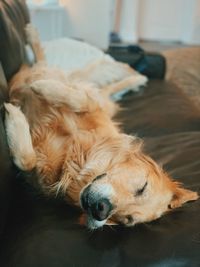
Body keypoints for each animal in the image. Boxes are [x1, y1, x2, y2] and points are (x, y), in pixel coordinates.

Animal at [4, 25, 198, 230]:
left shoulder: (38, 178)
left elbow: (27, 160)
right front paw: (43, 89)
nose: (101, 210)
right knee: (46, 65)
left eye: (127, 220)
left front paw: (14, 117)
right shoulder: (92, 107)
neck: (77, 159)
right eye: (142, 187)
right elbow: (80, 100)